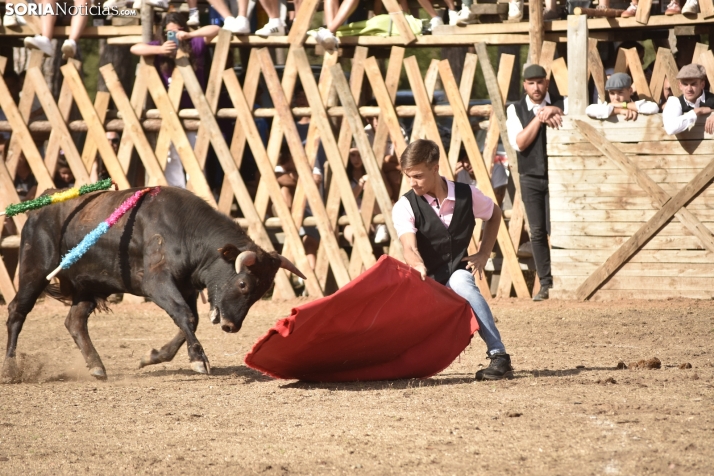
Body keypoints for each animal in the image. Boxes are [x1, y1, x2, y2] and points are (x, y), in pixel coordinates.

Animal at [0, 187, 306, 384]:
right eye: (243, 283)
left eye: (261, 292)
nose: (231, 326)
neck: (186, 231)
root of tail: (39, 208)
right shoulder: (156, 283)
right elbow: (185, 316)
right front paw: (198, 359)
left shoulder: (186, 288)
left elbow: (190, 321)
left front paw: (153, 357)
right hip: (35, 271)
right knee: (17, 311)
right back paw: (11, 370)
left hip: (87, 286)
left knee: (74, 321)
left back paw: (97, 367)